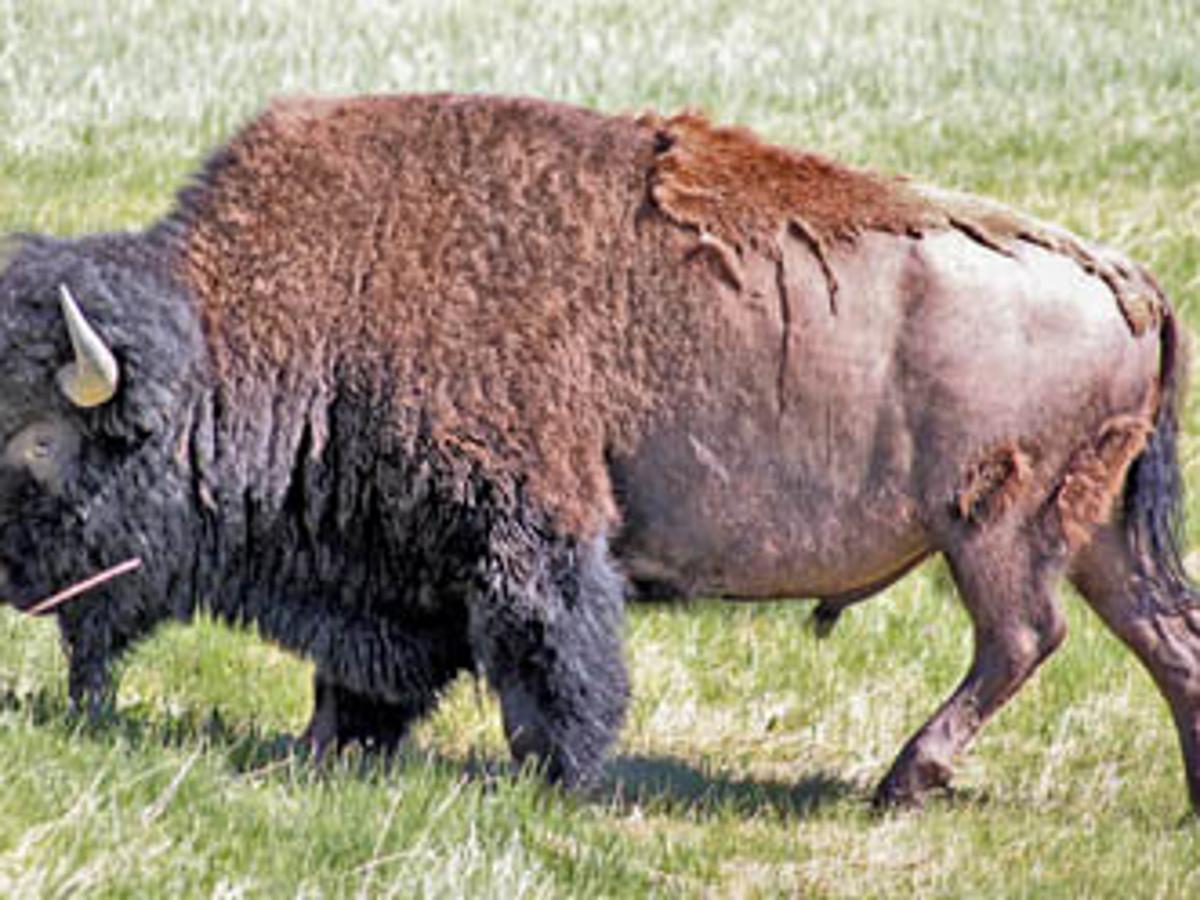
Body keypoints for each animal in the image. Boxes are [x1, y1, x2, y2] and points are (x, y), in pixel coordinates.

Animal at [1, 93, 1197, 809]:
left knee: (1024, 637)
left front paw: (553, 779)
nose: (12, 586)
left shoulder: (532, 531)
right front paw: (331, 749)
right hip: (1094, 537)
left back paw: (903, 780)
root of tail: (1131, 282)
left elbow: (549, 657)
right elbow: (362, 675)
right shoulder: (389, 567)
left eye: (41, 441)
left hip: (995, 530)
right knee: (1164, 639)